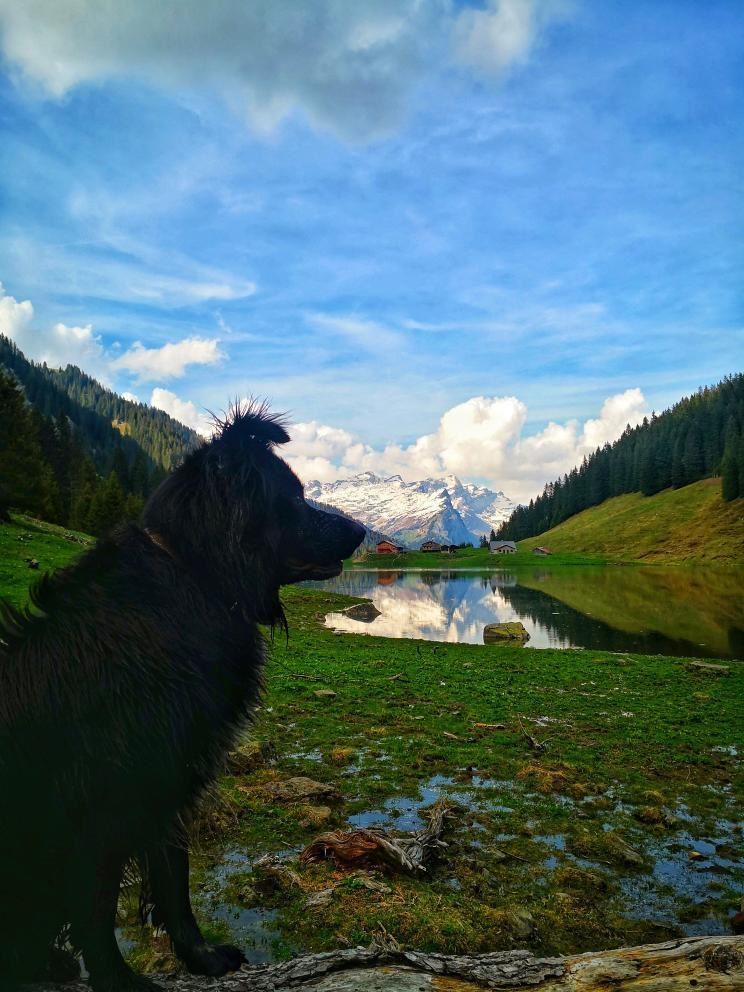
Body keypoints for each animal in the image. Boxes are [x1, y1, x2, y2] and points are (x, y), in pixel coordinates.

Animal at [0, 404, 366, 992]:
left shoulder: (172, 777)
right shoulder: (109, 796)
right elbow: (97, 906)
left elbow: (174, 879)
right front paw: (118, 980)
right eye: (292, 496)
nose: (360, 530)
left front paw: (201, 958)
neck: (195, 576)